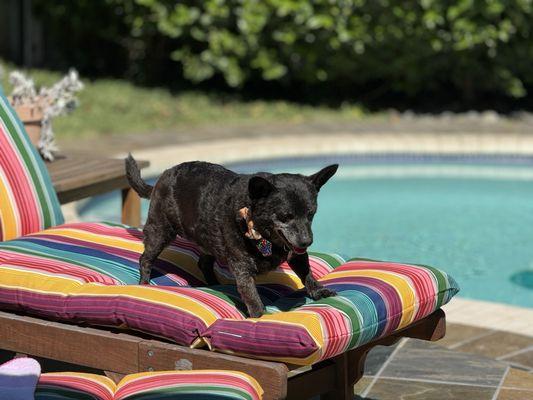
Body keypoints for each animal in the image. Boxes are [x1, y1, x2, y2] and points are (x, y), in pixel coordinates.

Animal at [125, 155, 336, 318]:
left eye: (311, 214)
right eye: (285, 216)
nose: (307, 241)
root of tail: (163, 176)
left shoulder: (296, 254)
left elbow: (307, 273)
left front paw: (318, 291)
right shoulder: (242, 267)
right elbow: (251, 295)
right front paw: (259, 316)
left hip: (207, 239)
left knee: (203, 263)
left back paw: (214, 283)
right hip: (160, 232)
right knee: (145, 258)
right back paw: (144, 284)